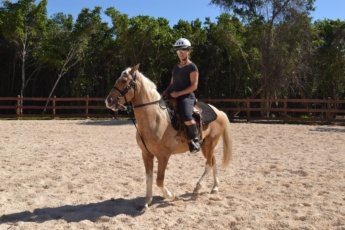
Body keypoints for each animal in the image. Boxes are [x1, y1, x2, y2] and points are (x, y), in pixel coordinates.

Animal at [105, 63, 232, 209]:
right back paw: (215, 187)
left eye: (124, 81)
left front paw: (172, 196)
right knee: (213, 161)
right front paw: (147, 201)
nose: (108, 101)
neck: (155, 119)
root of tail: (218, 111)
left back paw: (197, 189)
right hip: (206, 145)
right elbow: (149, 178)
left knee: (209, 163)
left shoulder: (163, 156)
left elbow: (159, 180)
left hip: (210, 143)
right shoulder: (146, 154)